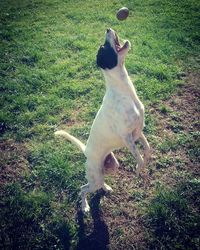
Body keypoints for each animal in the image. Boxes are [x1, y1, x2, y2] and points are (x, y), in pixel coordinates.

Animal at [54, 28, 150, 213]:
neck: (124, 91)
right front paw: (138, 169)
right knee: (82, 189)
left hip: (111, 167)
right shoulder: (127, 137)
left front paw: (144, 162)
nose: (108, 29)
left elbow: (147, 149)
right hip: (95, 176)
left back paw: (106, 188)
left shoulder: (138, 130)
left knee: (97, 184)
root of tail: (86, 151)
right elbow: (139, 157)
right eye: (104, 47)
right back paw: (85, 206)